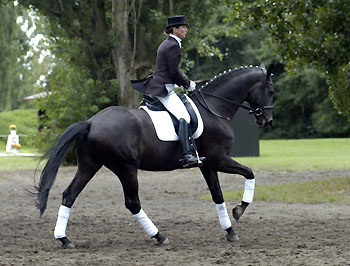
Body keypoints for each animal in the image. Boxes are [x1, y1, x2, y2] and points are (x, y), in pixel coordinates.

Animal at [35, 63, 274, 248]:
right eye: (271, 91)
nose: (267, 120)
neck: (214, 107)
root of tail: (91, 122)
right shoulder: (219, 159)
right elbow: (250, 173)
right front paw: (239, 210)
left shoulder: (207, 165)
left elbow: (218, 195)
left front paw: (230, 231)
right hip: (126, 168)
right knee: (132, 203)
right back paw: (159, 236)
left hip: (89, 165)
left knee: (69, 195)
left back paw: (64, 239)